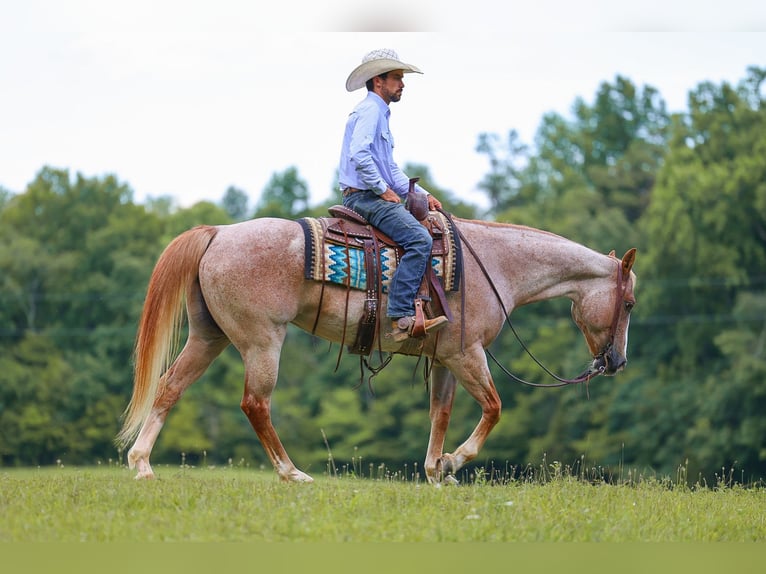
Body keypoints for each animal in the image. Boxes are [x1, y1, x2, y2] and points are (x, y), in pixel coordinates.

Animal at [116, 214, 637, 484]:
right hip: (262, 340)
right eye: (629, 302)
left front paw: (435, 470)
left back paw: (142, 465)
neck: (493, 265)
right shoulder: (468, 354)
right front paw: (453, 462)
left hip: (209, 337)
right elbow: (493, 408)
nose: (616, 362)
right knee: (255, 404)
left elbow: (440, 414)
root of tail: (219, 233)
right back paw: (293, 474)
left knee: (169, 388)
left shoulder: (445, 358)